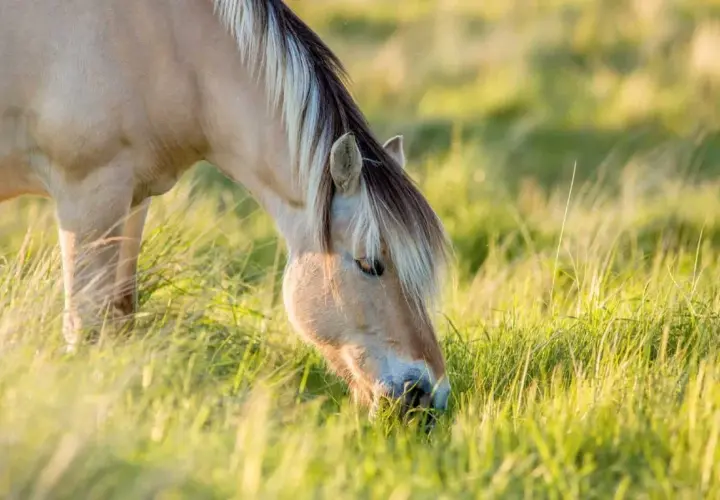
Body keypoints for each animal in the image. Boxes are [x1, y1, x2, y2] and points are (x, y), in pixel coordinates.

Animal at [0, 0, 452, 418]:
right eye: (370, 265)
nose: (429, 395)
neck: (161, 45)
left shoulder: (132, 199)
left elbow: (122, 313)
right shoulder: (88, 194)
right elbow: (87, 328)